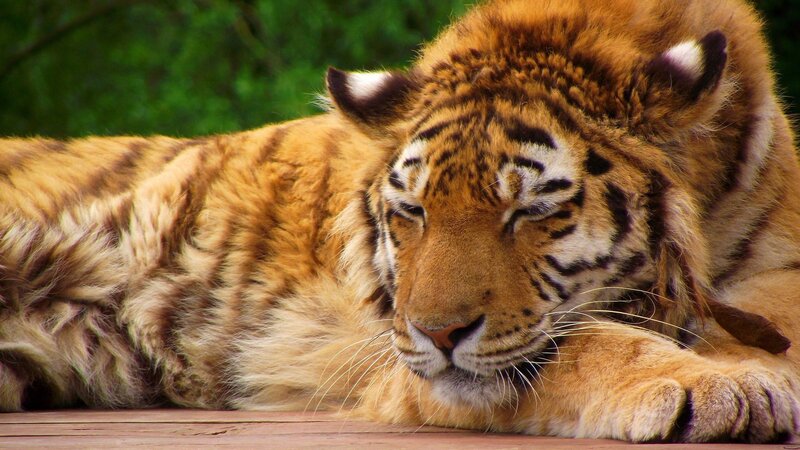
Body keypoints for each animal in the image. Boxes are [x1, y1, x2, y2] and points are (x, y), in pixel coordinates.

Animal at [1, 0, 799, 443]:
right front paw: (720, 388)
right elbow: (588, 343)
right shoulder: (403, 362)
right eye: (413, 211)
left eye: (530, 209)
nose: (438, 335)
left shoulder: (777, 268)